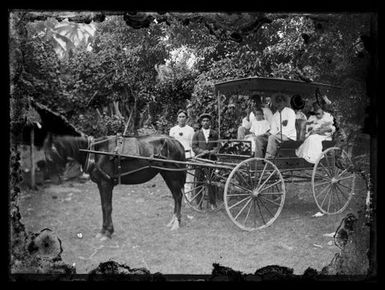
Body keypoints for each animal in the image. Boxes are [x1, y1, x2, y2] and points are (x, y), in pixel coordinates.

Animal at [43, 134, 186, 240]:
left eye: (50, 156)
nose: (53, 179)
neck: (95, 151)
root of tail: (176, 141)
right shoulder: (101, 184)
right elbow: (103, 206)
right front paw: (104, 230)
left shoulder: (106, 183)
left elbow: (107, 207)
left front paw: (107, 232)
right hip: (166, 174)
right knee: (175, 196)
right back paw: (173, 220)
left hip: (172, 175)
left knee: (178, 196)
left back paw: (176, 223)